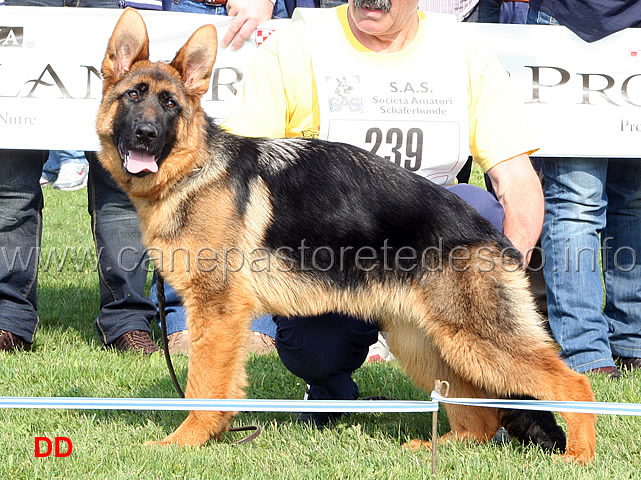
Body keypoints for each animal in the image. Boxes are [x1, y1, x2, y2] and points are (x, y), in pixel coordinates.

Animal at [99, 7, 596, 464]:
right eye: (133, 96)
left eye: (170, 105)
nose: (145, 134)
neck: (194, 170)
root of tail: (492, 236)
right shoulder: (222, 319)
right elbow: (221, 382)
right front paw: (213, 434)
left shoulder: (217, 311)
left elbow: (204, 384)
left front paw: (185, 441)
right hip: (428, 342)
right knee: (475, 411)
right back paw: (444, 446)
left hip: (475, 339)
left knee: (573, 382)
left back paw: (580, 455)